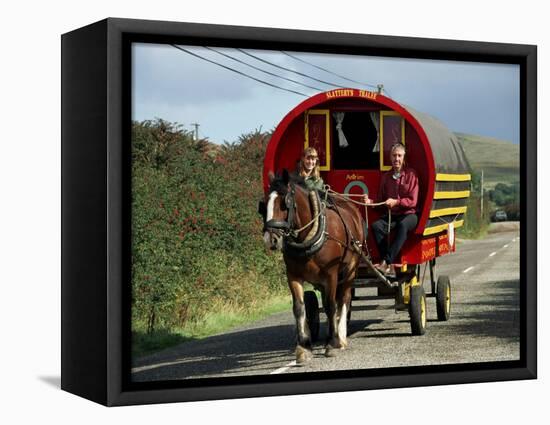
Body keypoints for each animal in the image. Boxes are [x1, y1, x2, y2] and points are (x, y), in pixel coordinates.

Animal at [260, 169, 364, 362]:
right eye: (264, 204)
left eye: (285, 203)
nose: (271, 239)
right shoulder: (293, 275)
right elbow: (299, 307)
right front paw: (303, 347)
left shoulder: (331, 274)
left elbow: (330, 306)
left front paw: (331, 343)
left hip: (350, 271)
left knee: (344, 299)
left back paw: (341, 336)